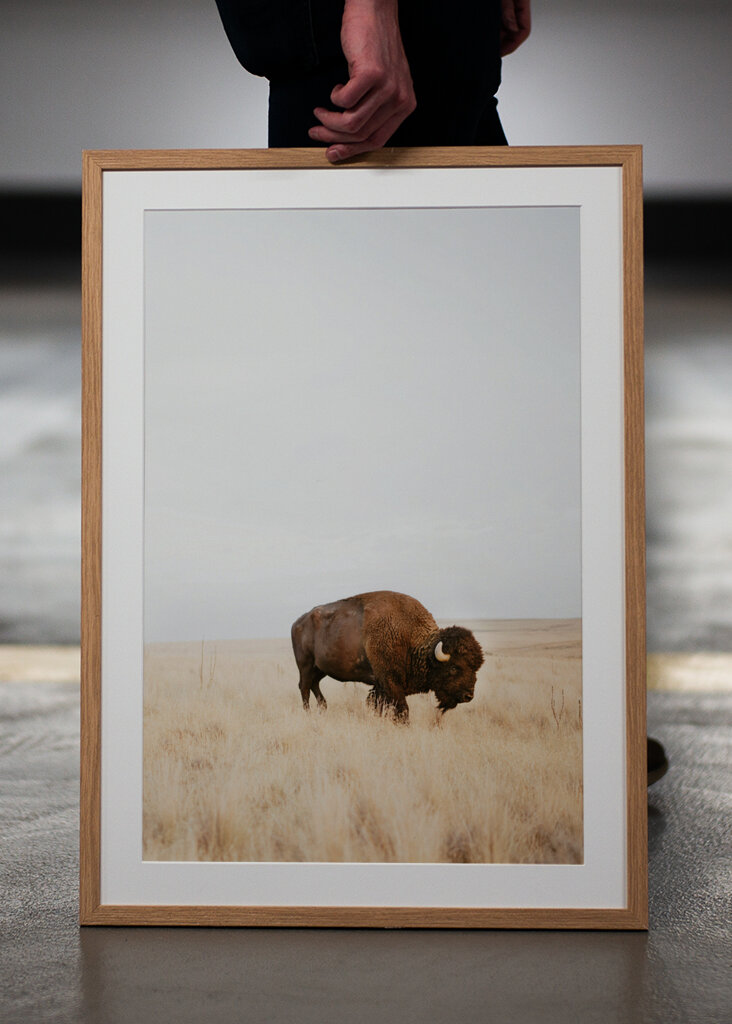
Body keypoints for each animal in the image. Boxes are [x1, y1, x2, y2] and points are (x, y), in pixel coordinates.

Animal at [291, 591, 484, 721]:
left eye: (476, 668)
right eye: (454, 667)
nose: (468, 696)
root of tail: (297, 622)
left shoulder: (381, 685)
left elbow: (378, 705)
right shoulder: (390, 682)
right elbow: (402, 709)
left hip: (320, 669)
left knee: (314, 685)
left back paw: (323, 708)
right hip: (305, 665)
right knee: (304, 687)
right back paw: (309, 713)